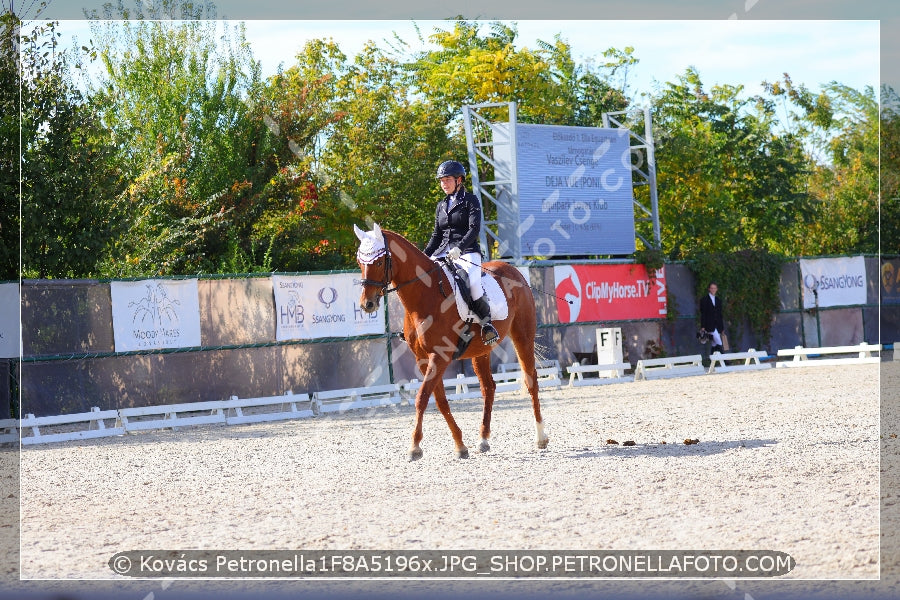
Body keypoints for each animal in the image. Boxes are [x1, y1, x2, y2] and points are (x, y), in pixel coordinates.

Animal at [354, 223, 548, 462]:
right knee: (488, 388)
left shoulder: (440, 356)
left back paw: (540, 437)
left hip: (522, 337)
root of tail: (514, 271)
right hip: (481, 350)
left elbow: (422, 397)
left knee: (531, 382)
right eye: (360, 262)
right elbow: (440, 400)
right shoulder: (423, 359)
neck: (424, 295)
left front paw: (414, 447)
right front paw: (460, 445)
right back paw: (483, 440)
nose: (367, 304)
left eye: (380, 262)